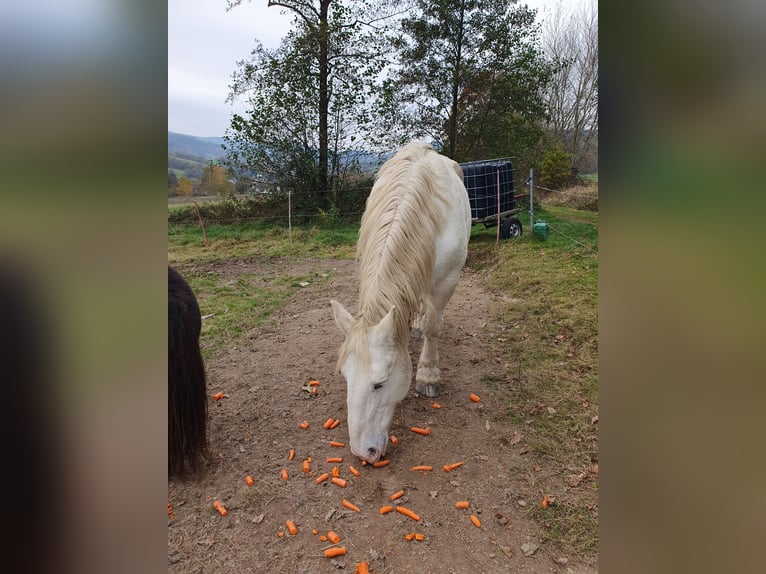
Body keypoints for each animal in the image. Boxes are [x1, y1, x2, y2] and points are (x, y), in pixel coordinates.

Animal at [332, 142, 472, 466]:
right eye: (345, 377)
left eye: (380, 384)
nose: (364, 452)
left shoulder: (447, 280)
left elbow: (434, 326)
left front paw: (428, 375)